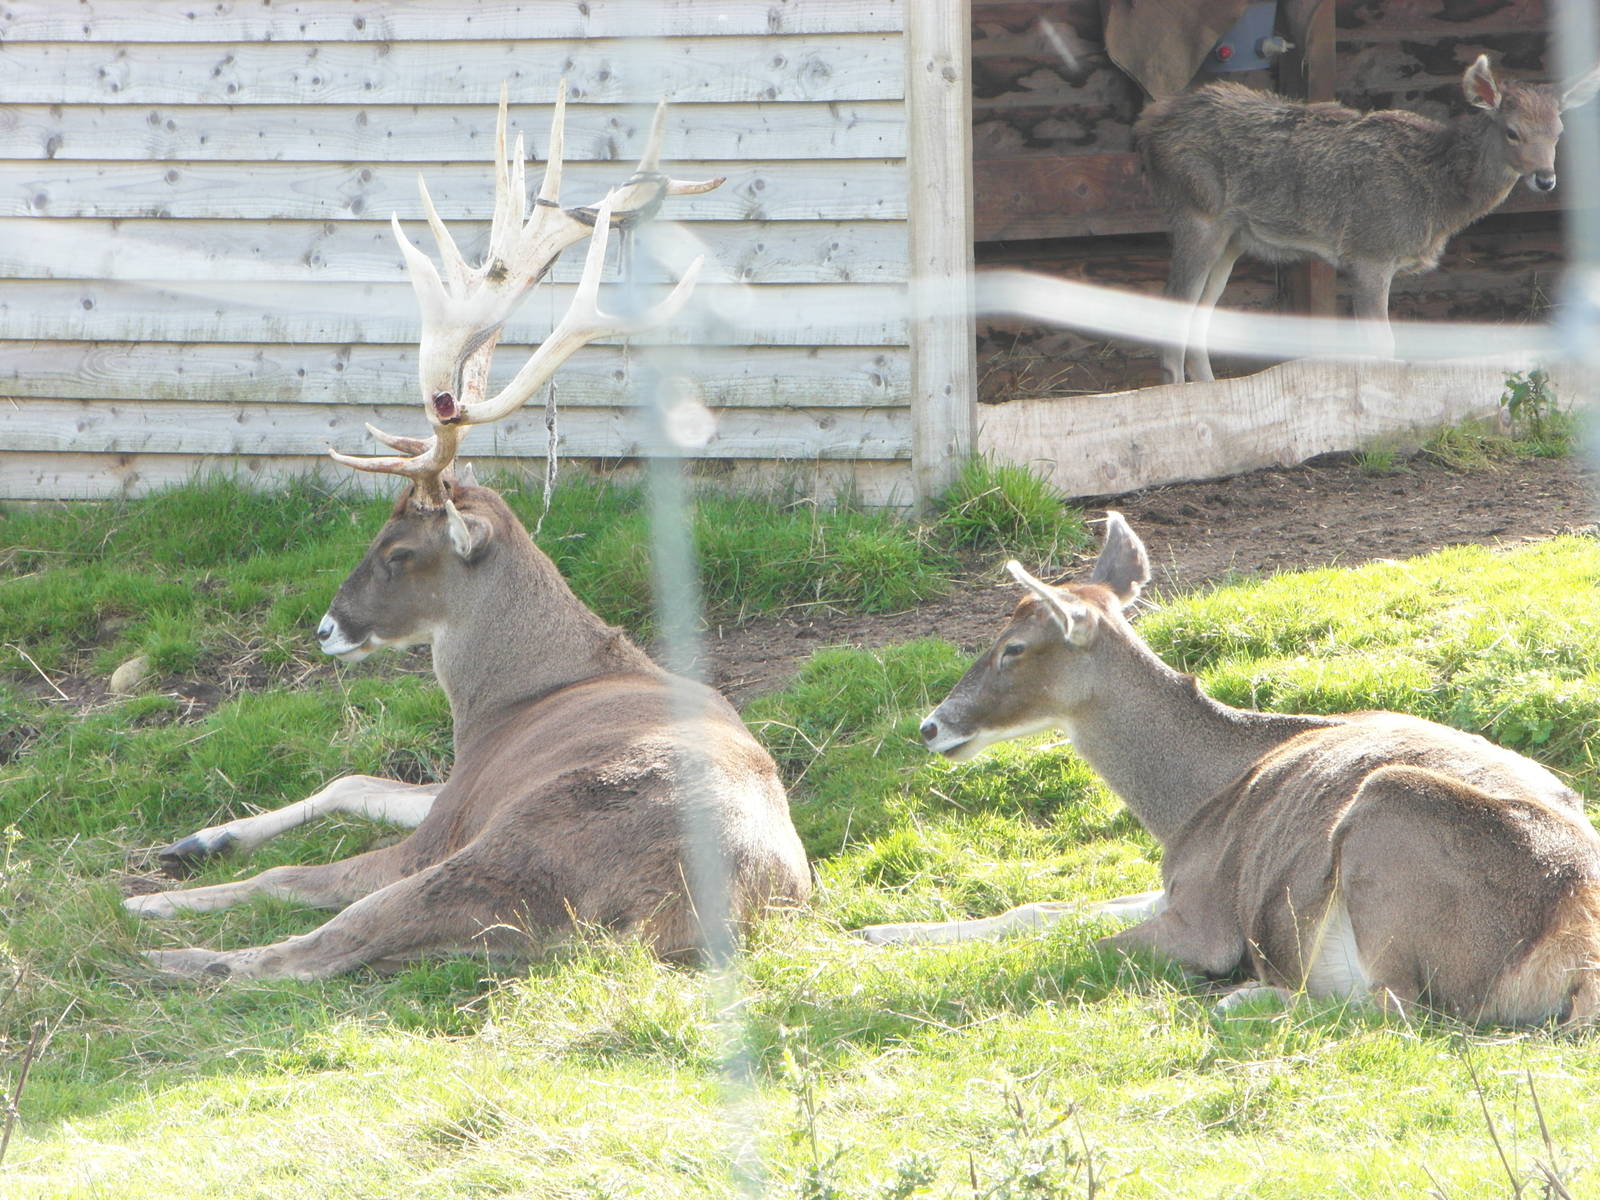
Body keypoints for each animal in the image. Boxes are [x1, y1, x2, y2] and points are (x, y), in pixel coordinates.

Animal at [121, 87, 812, 980]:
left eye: (399, 552)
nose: (326, 628)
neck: (508, 698)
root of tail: (680, 910)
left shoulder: (455, 809)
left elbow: (301, 866)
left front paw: (163, 889)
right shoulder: (452, 786)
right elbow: (353, 780)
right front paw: (200, 838)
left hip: (511, 843)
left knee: (322, 942)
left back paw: (167, 947)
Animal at [857, 515, 1600, 1026]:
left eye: (1013, 647)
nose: (932, 726)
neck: (1188, 807)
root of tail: (1573, 943)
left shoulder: (1207, 920)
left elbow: (1085, 946)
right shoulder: (1178, 887)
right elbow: (1040, 909)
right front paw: (879, 932)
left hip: (1392, 823)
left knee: (1402, 1010)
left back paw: (1239, 1001)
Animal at [1137, 54, 1600, 384]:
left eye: (1558, 133)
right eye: (1512, 131)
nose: (1546, 178)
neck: (1437, 201)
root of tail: (1147, 127)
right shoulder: (1370, 250)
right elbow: (1384, 343)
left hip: (1232, 236)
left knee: (1202, 308)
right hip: (1197, 209)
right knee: (1172, 301)